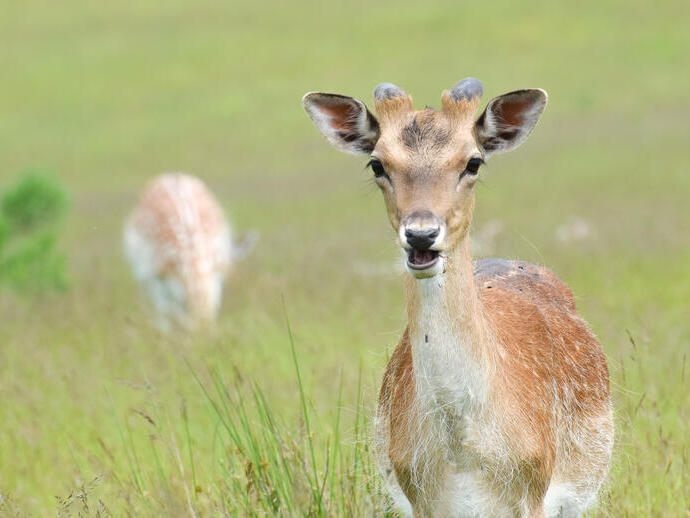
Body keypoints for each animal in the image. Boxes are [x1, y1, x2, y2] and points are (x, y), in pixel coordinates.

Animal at [124, 173, 256, 330]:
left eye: (216, 305)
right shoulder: (155, 275)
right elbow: (164, 314)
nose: (205, 332)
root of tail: (172, 174)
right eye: (186, 303)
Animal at [302, 79, 613, 517]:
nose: (421, 234)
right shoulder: (419, 498)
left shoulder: (534, 490)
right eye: (377, 164)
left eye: (473, 162)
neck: (462, 453)